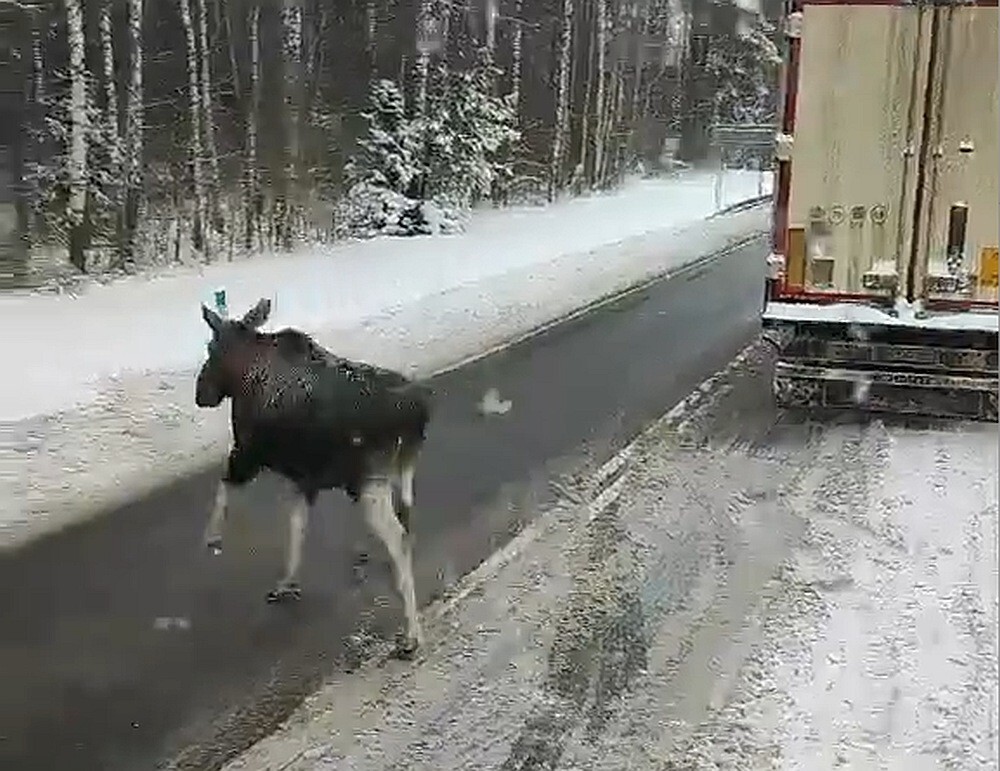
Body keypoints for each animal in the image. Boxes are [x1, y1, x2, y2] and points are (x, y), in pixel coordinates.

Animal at [193, 298, 432, 660]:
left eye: (211, 347)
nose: (201, 393)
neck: (243, 377)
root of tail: (417, 416)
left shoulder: (248, 453)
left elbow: (223, 488)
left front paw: (212, 538)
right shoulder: (304, 478)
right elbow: (297, 528)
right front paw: (286, 582)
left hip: (367, 482)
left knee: (399, 539)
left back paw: (411, 636)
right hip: (399, 476)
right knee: (408, 523)